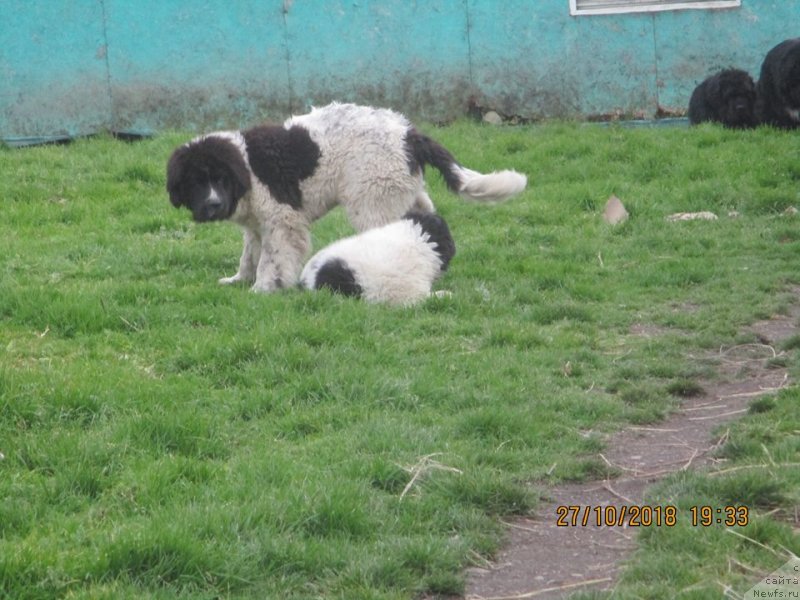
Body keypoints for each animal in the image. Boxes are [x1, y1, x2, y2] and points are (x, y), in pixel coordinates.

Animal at [164, 102, 524, 292]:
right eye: (196, 182)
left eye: (220, 179)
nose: (212, 204)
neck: (247, 168)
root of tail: (410, 134)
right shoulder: (256, 225)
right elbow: (249, 255)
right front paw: (239, 279)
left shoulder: (282, 222)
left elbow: (271, 259)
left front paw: (263, 289)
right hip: (404, 192)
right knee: (428, 220)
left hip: (374, 200)